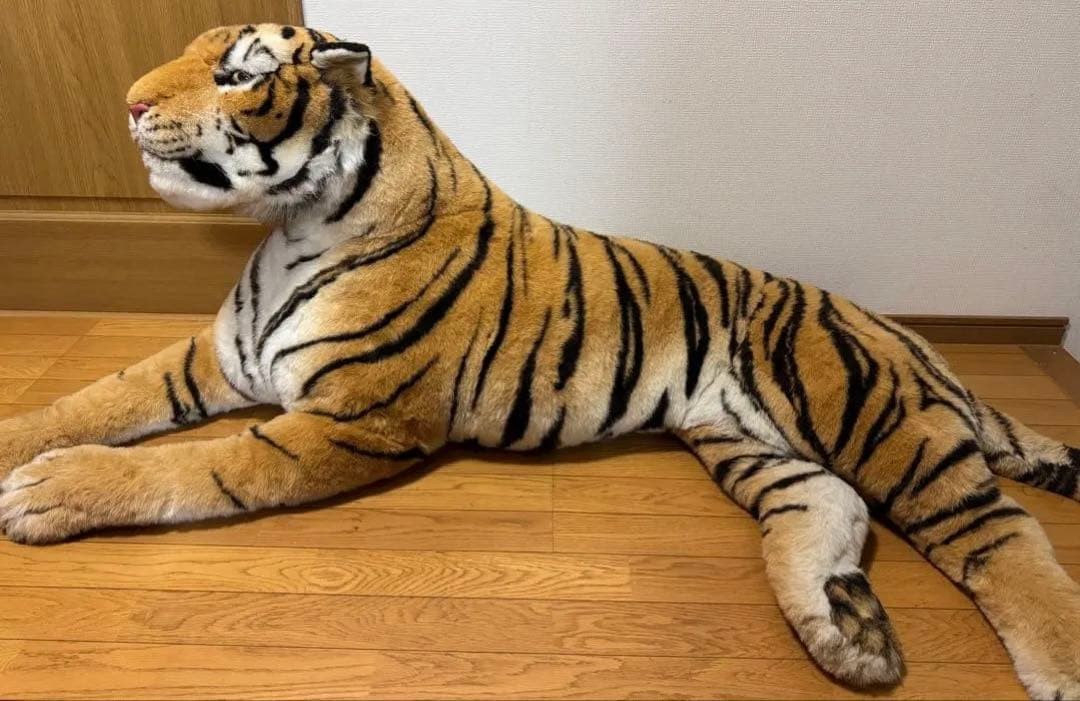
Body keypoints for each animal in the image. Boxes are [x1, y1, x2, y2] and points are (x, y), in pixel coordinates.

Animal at [0, 22, 1076, 698]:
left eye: (238, 74)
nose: (127, 103)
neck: (294, 227)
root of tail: (903, 329)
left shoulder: (353, 421)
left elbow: (197, 465)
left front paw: (49, 490)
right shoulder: (220, 359)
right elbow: (99, 395)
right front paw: (22, 438)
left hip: (871, 413)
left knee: (1000, 533)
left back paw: (1053, 662)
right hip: (756, 447)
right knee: (829, 508)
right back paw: (848, 633)